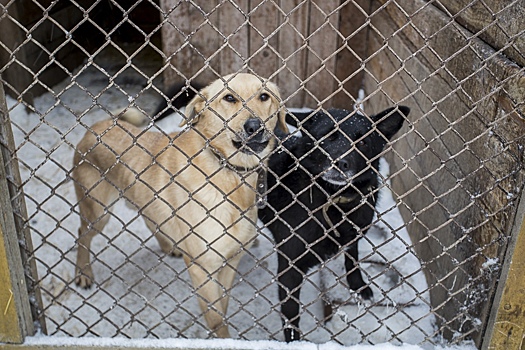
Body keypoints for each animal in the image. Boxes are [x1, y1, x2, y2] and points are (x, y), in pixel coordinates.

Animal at [72, 73, 286, 336]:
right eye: (229, 98)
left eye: (264, 96)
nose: (255, 126)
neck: (229, 173)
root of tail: (97, 127)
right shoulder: (202, 267)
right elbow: (216, 318)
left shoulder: (230, 261)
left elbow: (222, 307)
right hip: (98, 213)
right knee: (82, 234)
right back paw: (83, 272)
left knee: (149, 218)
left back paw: (168, 245)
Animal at [256, 106, 408, 342]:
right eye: (326, 136)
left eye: (362, 142)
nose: (340, 163)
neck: (334, 200)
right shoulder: (290, 267)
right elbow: (291, 313)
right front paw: (294, 343)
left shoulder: (355, 232)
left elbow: (352, 257)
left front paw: (358, 285)